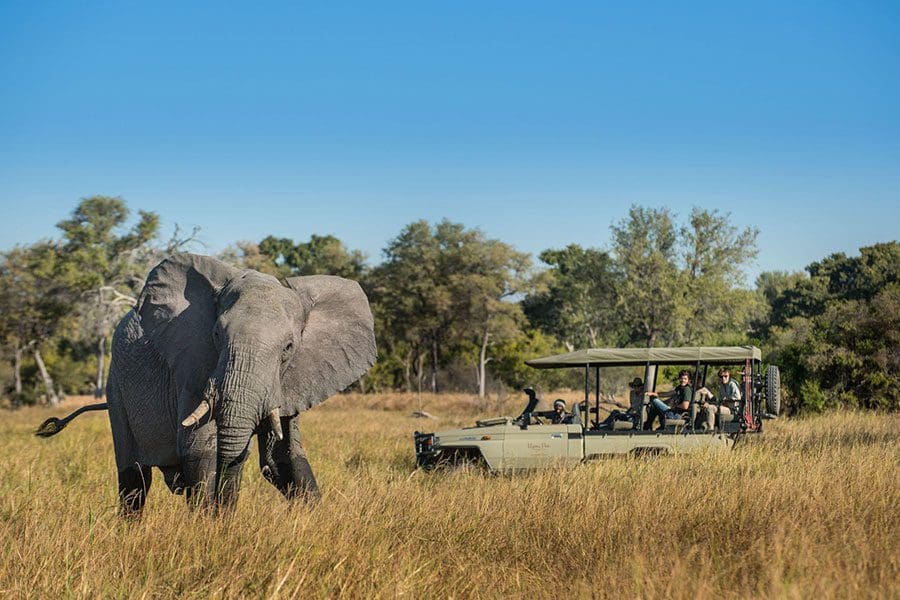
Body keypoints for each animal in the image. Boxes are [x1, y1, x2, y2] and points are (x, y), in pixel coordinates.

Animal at [37, 254, 376, 516]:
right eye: (216, 336)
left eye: (288, 348)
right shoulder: (191, 366)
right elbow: (200, 450)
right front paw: (208, 527)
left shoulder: (294, 379)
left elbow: (286, 456)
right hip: (116, 384)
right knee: (135, 479)